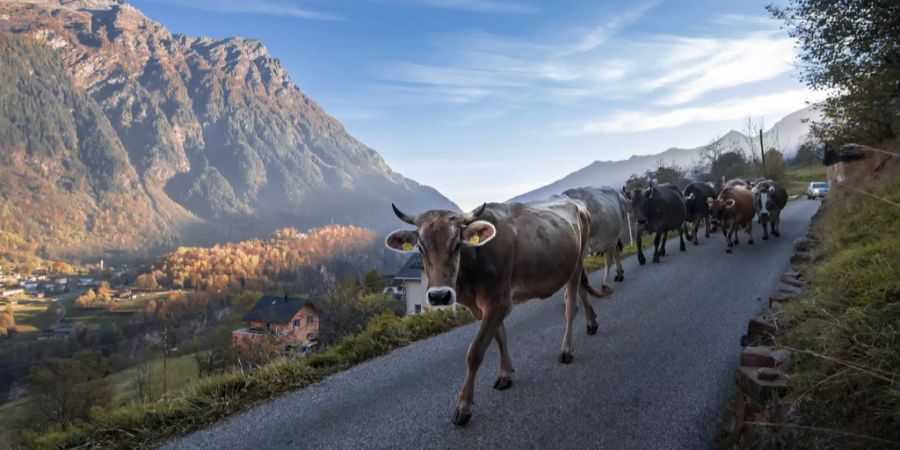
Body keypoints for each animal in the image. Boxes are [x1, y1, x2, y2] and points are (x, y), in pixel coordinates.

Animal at [384, 200, 608, 426]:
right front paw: (506, 374)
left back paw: (567, 350)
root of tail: (575, 202)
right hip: (571, 265)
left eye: (457, 244)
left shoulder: (499, 300)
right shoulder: (483, 306)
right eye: (421, 248)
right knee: (581, 290)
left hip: (578, 260)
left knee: (571, 307)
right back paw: (591, 323)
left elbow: (475, 352)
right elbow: (500, 337)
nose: (439, 296)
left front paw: (464, 406)